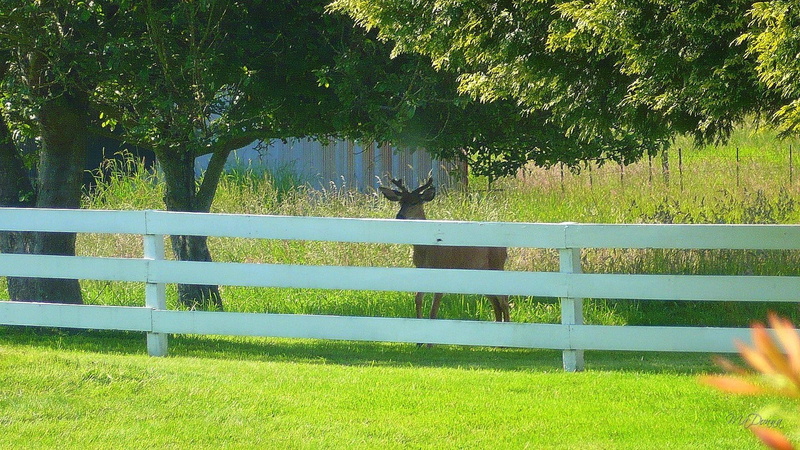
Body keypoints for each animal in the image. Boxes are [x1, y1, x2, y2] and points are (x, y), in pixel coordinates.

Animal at [380, 178, 510, 322]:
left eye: (415, 202)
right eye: (400, 202)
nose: (399, 216)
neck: (426, 249)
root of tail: (504, 250)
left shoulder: (442, 269)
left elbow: (433, 311)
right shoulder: (422, 269)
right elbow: (418, 299)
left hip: (497, 265)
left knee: (504, 302)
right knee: (497, 304)